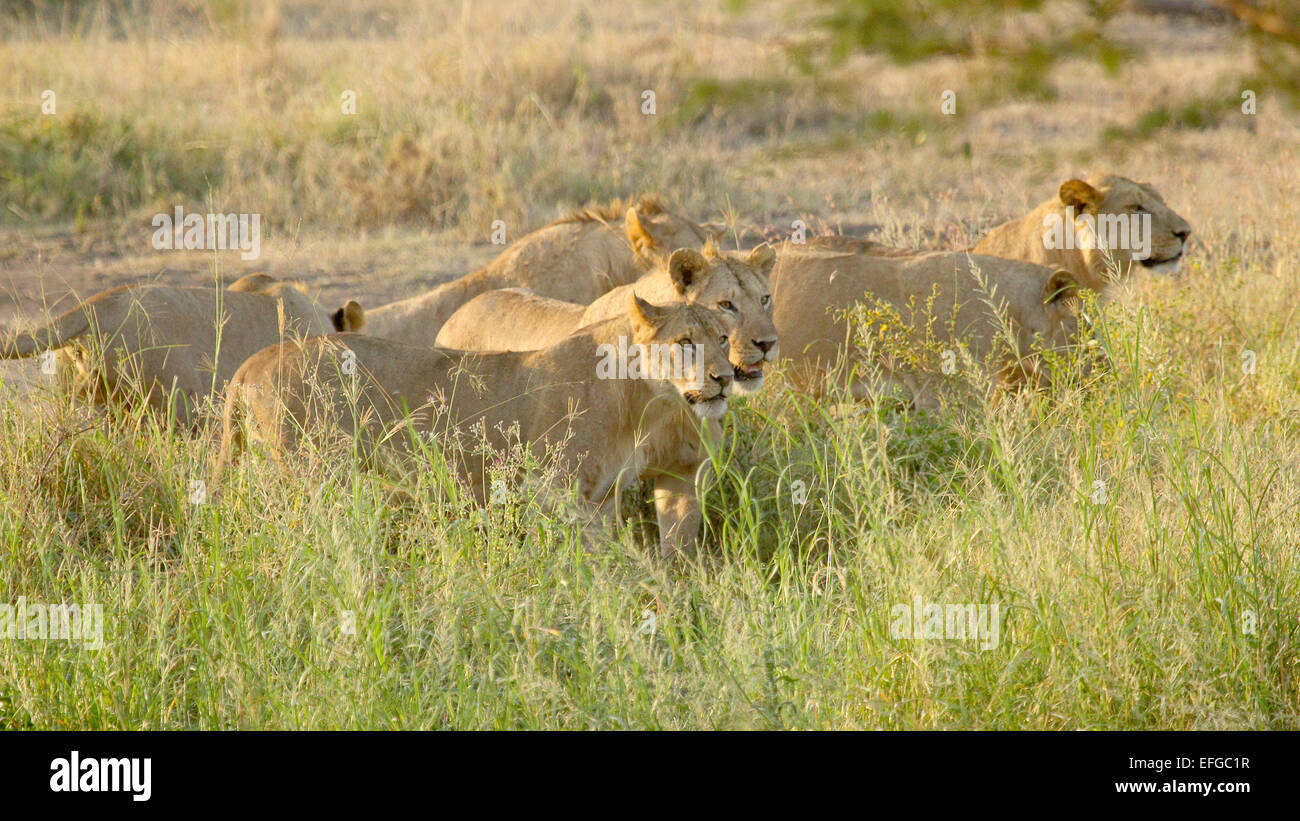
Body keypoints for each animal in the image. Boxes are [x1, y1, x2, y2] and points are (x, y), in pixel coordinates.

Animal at [212, 292, 736, 558]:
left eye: (724, 338)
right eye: (685, 342)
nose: (726, 377)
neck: (642, 397)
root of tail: (253, 363)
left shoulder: (602, 499)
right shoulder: (555, 492)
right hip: (312, 477)